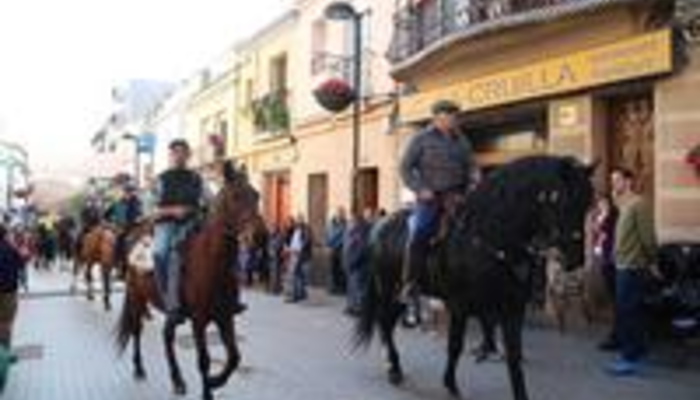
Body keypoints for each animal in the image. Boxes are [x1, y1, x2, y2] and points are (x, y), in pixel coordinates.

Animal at [117, 162, 260, 400]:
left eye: (257, 195)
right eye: (235, 196)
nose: (259, 236)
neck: (211, 262)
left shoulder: (225, 316)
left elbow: (234, 357)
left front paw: (215, 381)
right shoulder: (199, 320)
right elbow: (204, 360)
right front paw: (208, 391)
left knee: (167, 336)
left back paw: (177, 380)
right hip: (137, 298)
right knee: (137, 330)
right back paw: (139, 369)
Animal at [352, 155, 592, 400]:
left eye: (587, 203)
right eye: (564, 200)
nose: (576, 259)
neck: (490, 238)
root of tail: (379, 227)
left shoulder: (512, 308)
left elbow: (514, 356)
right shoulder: (459, 305)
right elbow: (455, 345)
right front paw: (450, 384)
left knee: (388, 324)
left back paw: (393, 365)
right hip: (389, 289)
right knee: (384, 321)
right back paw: (393, 368)